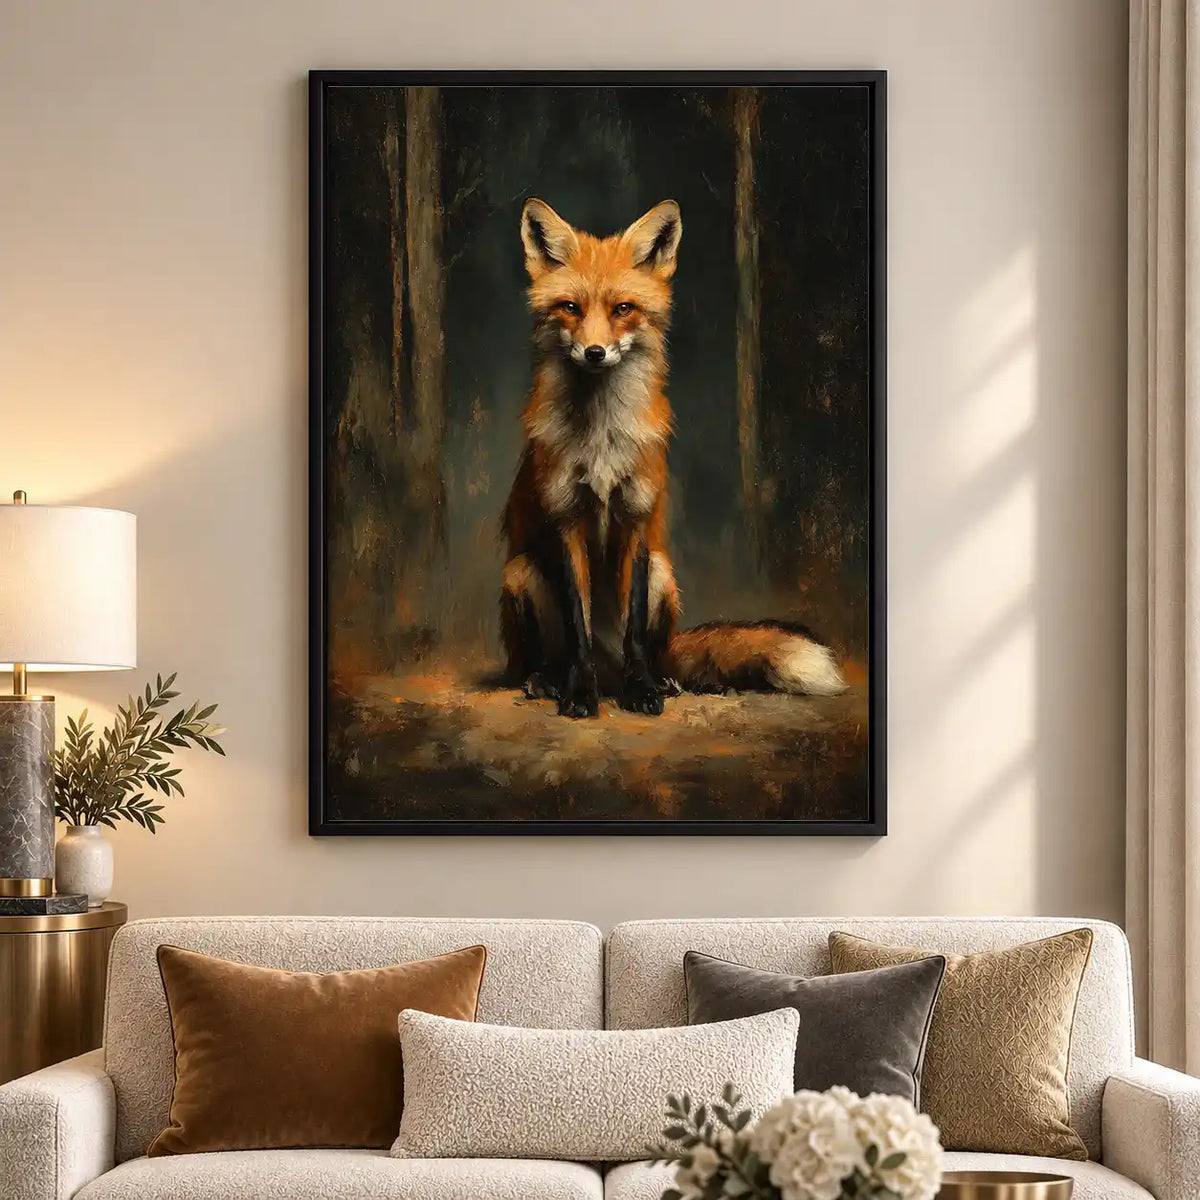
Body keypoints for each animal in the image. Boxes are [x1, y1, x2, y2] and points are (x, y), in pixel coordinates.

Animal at [499, 196, 847, 718]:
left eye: (623, 309)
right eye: (571, 308)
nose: (595, 352)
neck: (601, 436)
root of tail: (608, 667)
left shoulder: (638, 520)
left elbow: (635, 630)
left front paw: (642, 690)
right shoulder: (566, 520)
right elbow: (578, 628)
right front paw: (579, 694)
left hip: (665, 574)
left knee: (652, 650)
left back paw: (659, 679)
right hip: (519, 573)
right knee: (550, 656)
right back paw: (548, 680)